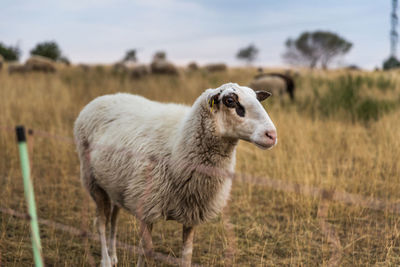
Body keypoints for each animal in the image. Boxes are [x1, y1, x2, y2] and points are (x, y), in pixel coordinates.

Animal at [73, 82, 276, 266]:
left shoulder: (192, 212)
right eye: (230, 101)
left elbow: (186, 255)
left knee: (114, 218)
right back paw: (106, 260)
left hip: (116, 185)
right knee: (101, 222)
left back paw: (113, 255)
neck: (178, 145)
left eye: (257, 98)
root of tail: (103, 98)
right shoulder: (146, 207)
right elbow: (147, 252)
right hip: (93, 182)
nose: (271, 135)